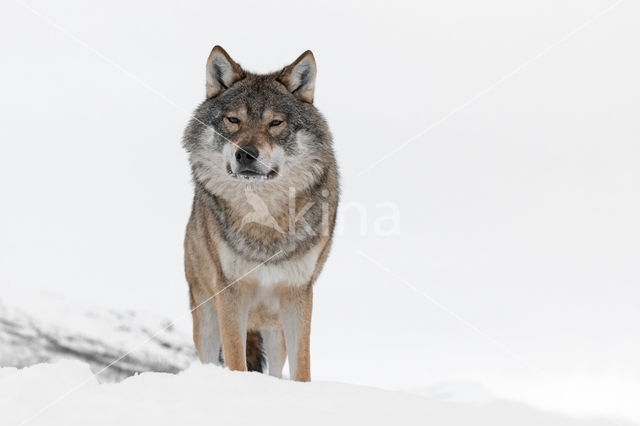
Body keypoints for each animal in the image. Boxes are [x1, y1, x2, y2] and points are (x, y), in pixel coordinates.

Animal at [181, 45, 340, 382]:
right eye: (233, 120)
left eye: (275, 123)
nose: (246, 153)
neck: (264, 221)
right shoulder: (230, 292)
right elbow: (236, 361)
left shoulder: (298, 292)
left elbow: (302, 367)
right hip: (206, 315)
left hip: (273, 326)